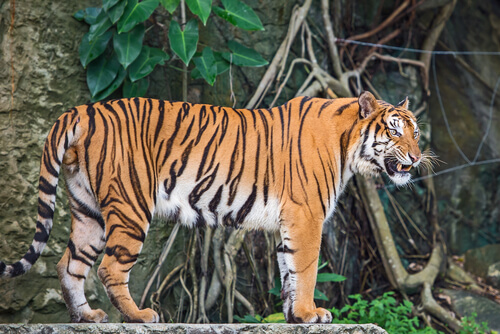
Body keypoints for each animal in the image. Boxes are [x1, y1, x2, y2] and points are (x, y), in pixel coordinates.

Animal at [0, 90, 424, 322]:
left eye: (416, 133)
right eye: (394, 132)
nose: (418, 158)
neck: (349, 148)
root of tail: (82, 109)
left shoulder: (288, 222)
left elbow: (288, 271)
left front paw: (293, 316)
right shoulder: (306, 216)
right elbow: (306, 270)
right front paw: (310, 313)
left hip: (88, 208)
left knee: (68, 264)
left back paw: (86, 316)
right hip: (131, 207)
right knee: (108, 268)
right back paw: (139, 315)